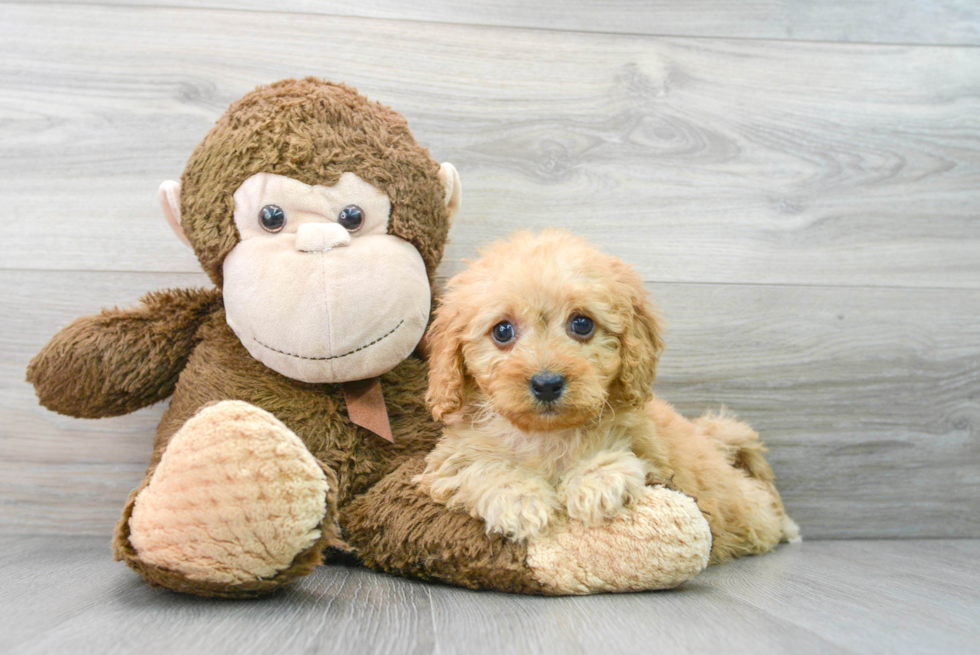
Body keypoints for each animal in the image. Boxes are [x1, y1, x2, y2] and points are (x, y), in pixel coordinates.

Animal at [418, 231, 800, 564]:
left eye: (582, 324)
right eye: (502, 331)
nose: (546, 383)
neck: (547, 435)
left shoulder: (651, 455)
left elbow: (614, 452)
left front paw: (596, 483)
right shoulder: (451, 460)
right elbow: (482, 466)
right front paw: (521, 501)